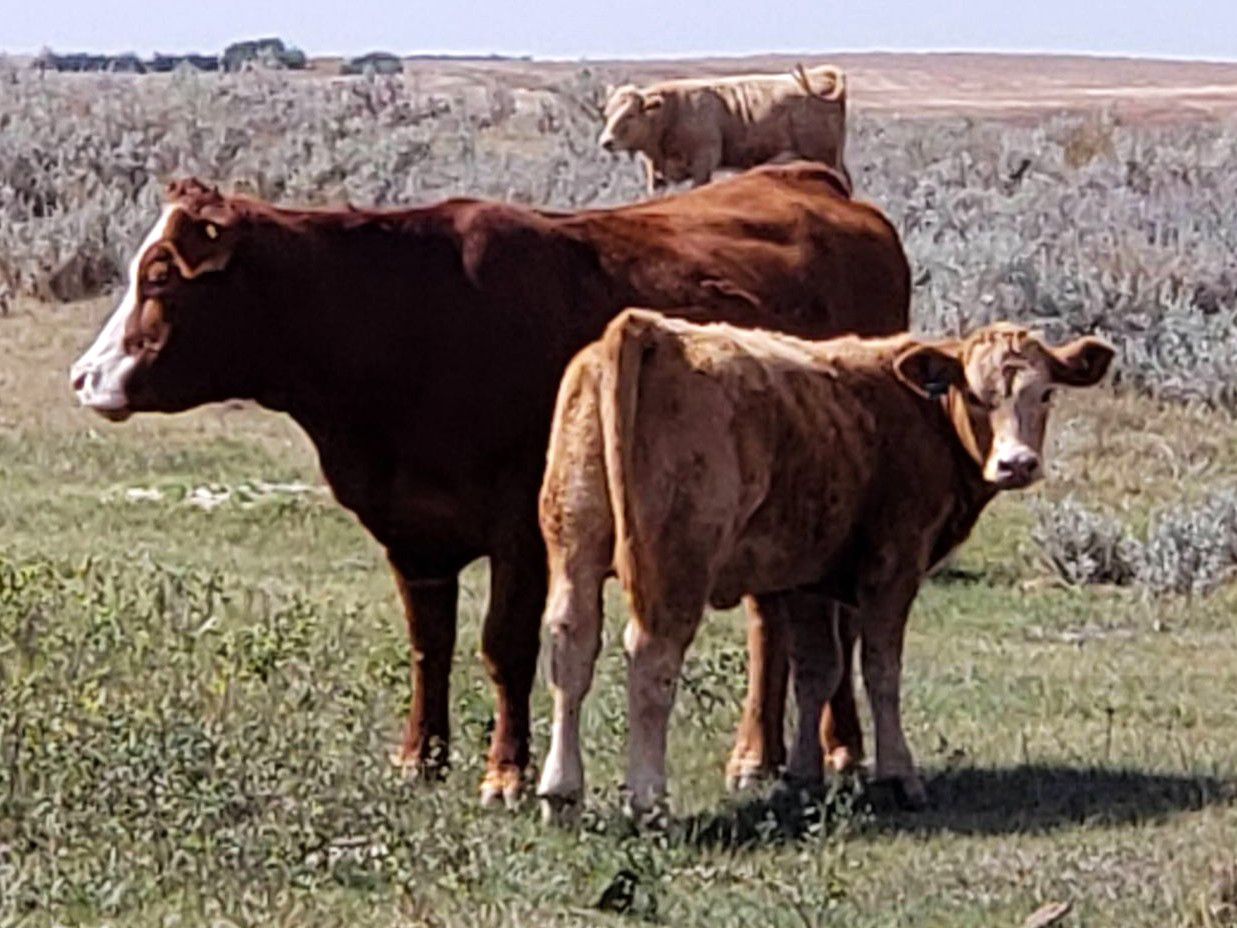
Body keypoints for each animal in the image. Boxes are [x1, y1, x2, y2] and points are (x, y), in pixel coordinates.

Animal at [68, 163, 909, 807]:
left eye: (160, 276)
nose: (83, 377)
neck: (405, 322)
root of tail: (804, 176)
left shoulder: (522, 533)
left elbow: (504, 648)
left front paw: (504, 772)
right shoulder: (412, 535)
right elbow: (429, 644)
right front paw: (419, 756)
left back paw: (809, 752)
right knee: (787, 617)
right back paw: (785, 751)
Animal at [536, 311, 1114, 817]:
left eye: (1046, 392)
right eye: (976, 394)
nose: (1017, 464)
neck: (918, 415)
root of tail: (647, 328)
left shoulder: (805, 576)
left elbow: (818, 668)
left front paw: (802, 774)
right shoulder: (894, 565)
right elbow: (880, 669)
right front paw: (897, 775)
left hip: (574, 545)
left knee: (572, 646)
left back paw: (561, 792)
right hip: (675, 564)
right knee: (652, 657)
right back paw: (647, 800)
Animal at [598, 64, 849, 196]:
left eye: (630, 114)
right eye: (607, 114)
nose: (606, 142)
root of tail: (820, 75)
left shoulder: (703, 163)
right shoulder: (657, 177)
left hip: (823, 155)